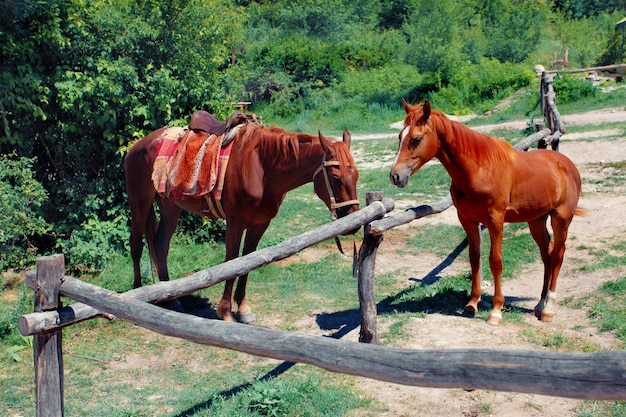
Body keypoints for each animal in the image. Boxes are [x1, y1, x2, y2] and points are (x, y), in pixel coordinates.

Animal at [124, 117, 358, 322]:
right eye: (335, 177)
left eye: (356, 176)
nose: (353, 221)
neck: (261, 168)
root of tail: (137, 146)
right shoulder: (235, 223)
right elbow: (232, 261)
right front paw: (226, 312)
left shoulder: (260, 224)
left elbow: (247, 261)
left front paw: (243, 309)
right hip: (139, 204)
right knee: (136, 245)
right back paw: (137, 292)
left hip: (170, 207)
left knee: (160, 245)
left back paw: (171, 299)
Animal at [388, 100, 584, 324]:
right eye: (400, 136)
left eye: (416, 139)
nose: (395, 176)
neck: (480, 171)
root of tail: (567, 164)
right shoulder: (468, 220)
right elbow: (475, 259)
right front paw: (472, 304)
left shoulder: (495, 221)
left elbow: (495, 261)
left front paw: (496, 311)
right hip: (536, 221)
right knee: (547, 254)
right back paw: (540, 304)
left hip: (561, 219)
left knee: (558, 255)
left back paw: (549, 309)